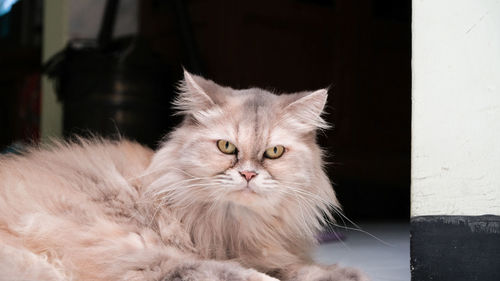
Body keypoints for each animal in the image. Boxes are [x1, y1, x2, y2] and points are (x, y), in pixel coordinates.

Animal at [0, 71, 368, 278]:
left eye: (274, 152)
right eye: (226, 147)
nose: (248, 174)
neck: (231, 225)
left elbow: (295, 267)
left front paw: (343, 274)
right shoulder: (139, 252)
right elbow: (237, 273)